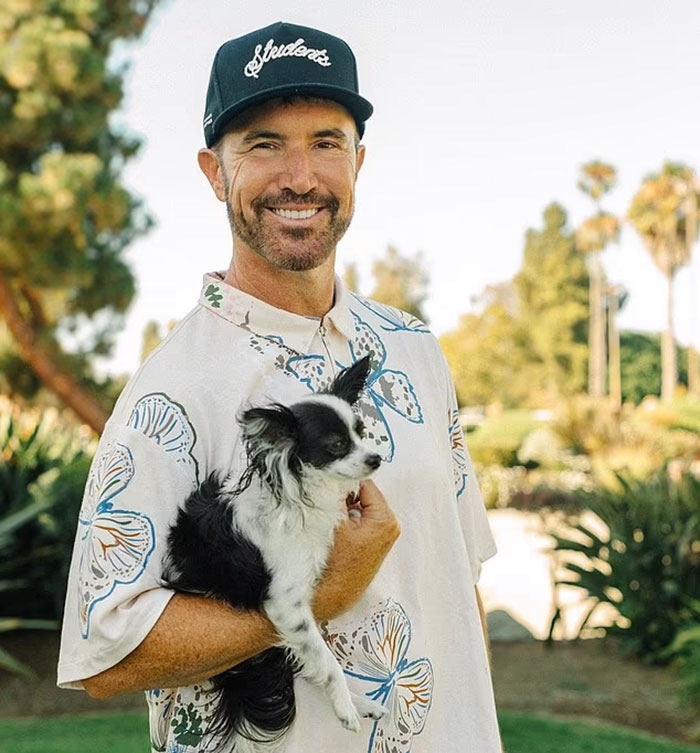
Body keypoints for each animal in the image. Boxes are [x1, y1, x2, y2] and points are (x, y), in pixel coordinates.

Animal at [162, 356, 386, 748]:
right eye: (337, 444)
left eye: (361, 432)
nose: (375, 459)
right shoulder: (286, 603)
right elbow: (326, 661)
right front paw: (344, 707)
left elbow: (320, 658)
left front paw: (349, 701)